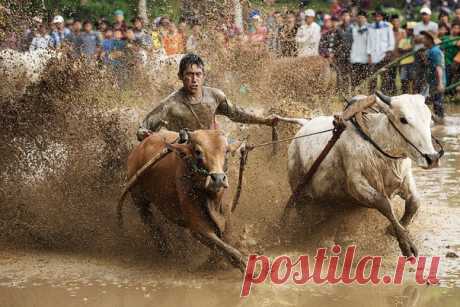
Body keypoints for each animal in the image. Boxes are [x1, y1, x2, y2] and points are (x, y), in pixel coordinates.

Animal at [117, 129, 246, 272]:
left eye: (226, 151)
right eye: (198, 151)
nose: (218, 178)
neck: (211, 198)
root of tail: (138, 149)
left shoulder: (226, 219)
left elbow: (225, 244)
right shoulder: (198, 228)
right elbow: (231, 252)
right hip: (139, 199)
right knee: (151, 224)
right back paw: (165, 250)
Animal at [284, 92, 442, 258]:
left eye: (429, 118)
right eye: (403, 119)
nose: (432, 158)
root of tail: (303, 126)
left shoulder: (405, 178)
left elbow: (415, 203)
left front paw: (394, 230)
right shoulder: (357, 185)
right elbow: (384, 204)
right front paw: (406, 243)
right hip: (300, 193)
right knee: (304, 215)